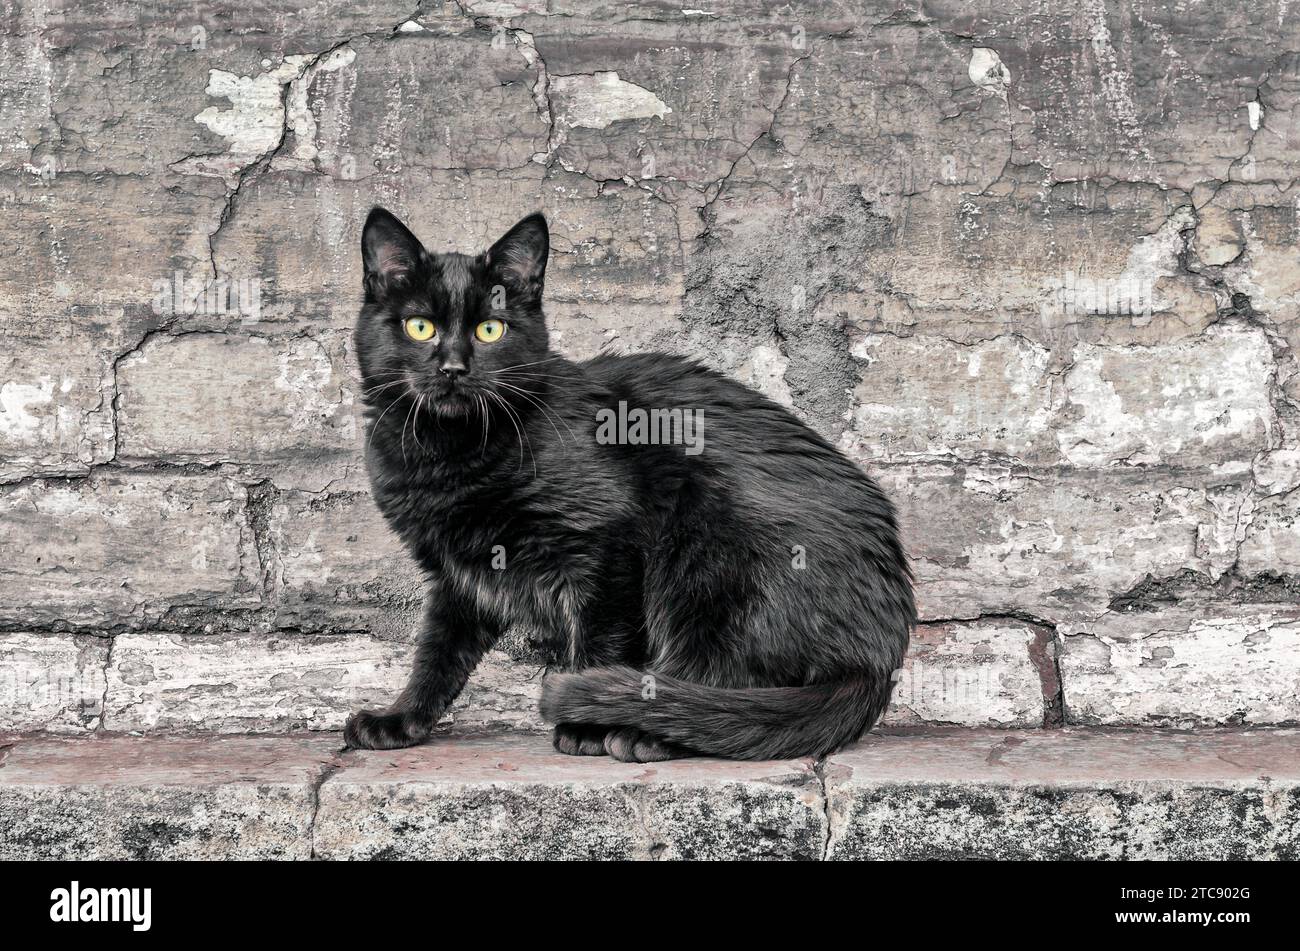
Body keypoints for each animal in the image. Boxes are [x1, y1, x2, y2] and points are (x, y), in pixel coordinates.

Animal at [345, 211, 915, 763]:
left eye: (490, 329)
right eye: (419, 326)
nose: (453, 368)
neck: (450, 454)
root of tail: (878, 656)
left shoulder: (605, 543)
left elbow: (600, 641)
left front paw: (584, 729)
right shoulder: (458, 574)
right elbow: (438, 654)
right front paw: (401, 719)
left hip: (710, 563)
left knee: (732, 687)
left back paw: (646, 735)